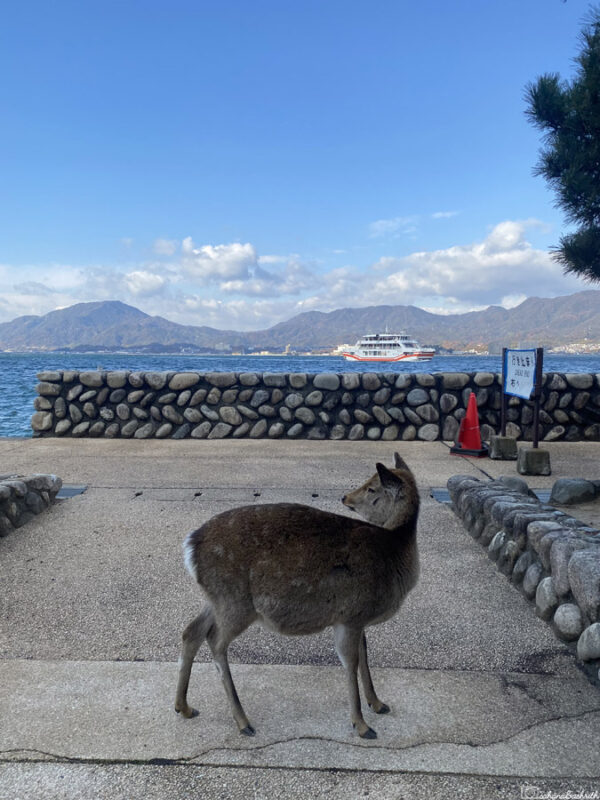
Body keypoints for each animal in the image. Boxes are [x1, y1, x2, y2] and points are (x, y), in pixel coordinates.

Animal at [175, 452, 420, 740]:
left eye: (372, 487)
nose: (345, 497)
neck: (395, 554)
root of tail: (190, 548)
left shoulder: (355, 617)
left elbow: (364, 655)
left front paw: (378, 704)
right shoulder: (351, 615)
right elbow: (350, 663)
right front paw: (361, 725)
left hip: (215, 599)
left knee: (192, 631)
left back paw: (184, 707)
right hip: (235, 603)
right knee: (214, 641)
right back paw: (243, 722)